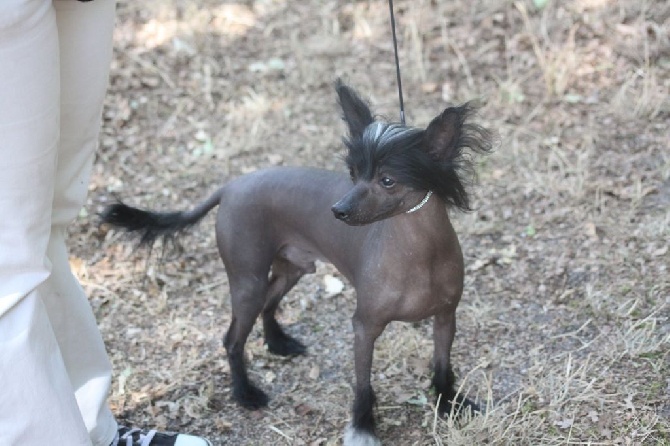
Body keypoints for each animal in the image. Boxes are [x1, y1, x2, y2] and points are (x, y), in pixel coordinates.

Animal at [102, 81, 496, 446]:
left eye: (387, 180)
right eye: (353, 174)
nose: (338, 210)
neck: (419, 254)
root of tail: (230, 187)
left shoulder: (446, 318)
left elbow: (443, 366)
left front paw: (450, 404)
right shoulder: (364, 328)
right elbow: (363, 385)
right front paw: (363, 427)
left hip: (292, 269)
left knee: (269, 304)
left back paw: (278, 343)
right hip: (247, 281)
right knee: (232, 338)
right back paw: (245, 393)